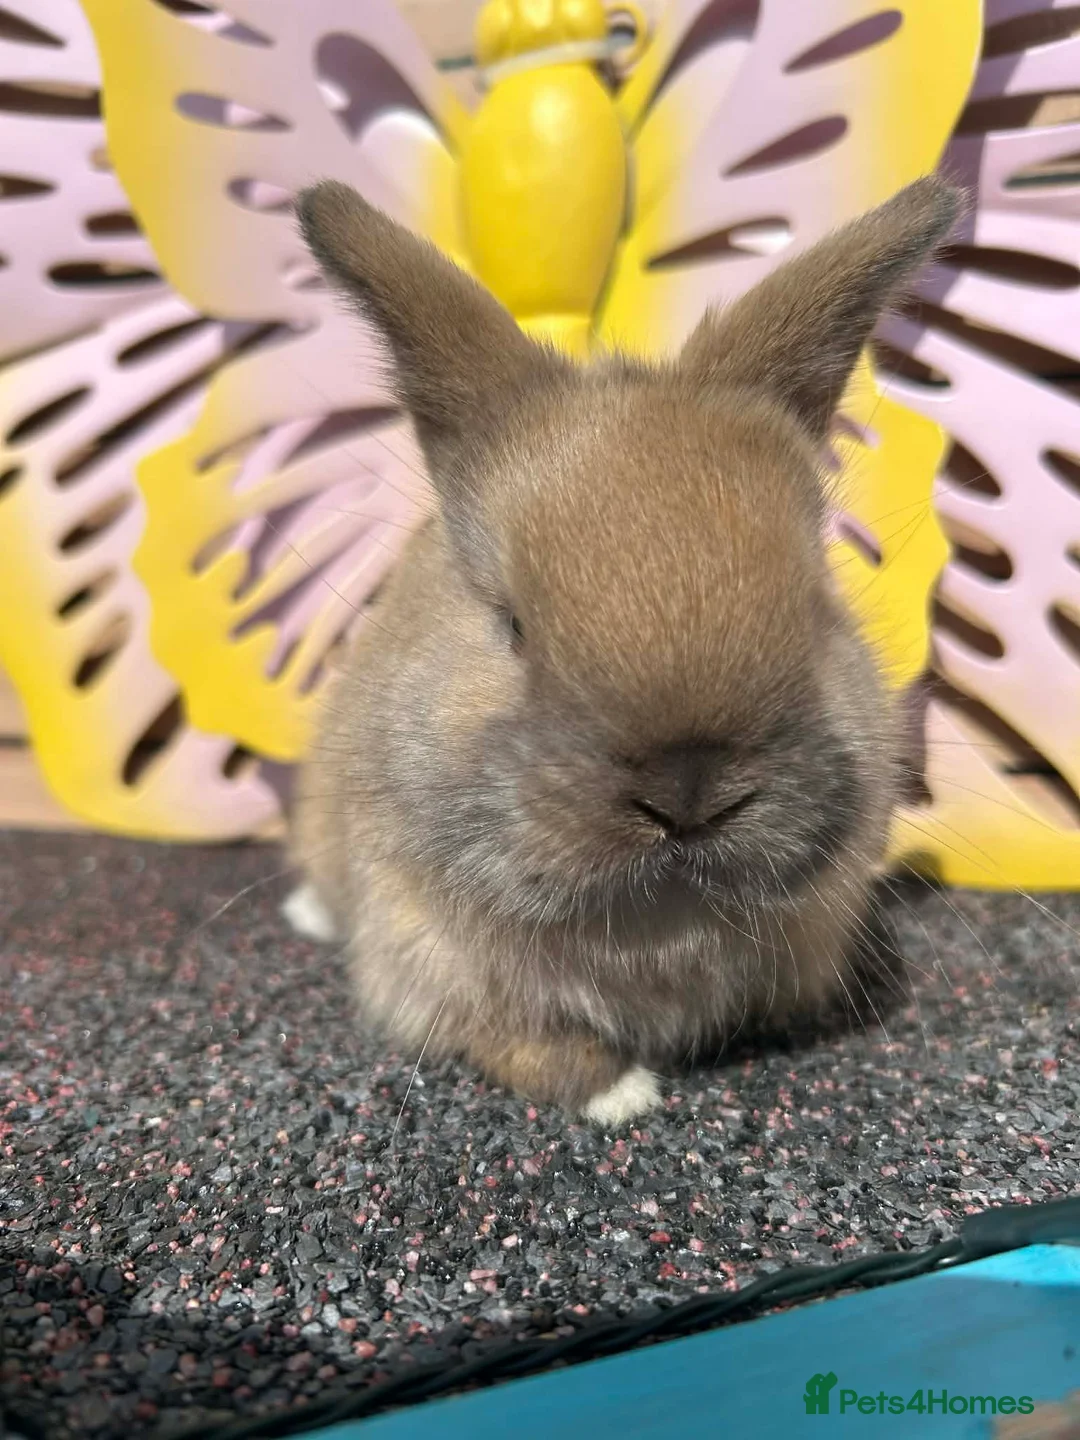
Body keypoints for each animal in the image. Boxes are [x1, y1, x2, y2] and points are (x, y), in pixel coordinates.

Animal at [286, 175, 962, 1125]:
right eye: (511, 625)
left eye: (814, 606)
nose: (688, 794)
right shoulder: (424, 957)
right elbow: (526, 1049)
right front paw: (625, 1096)